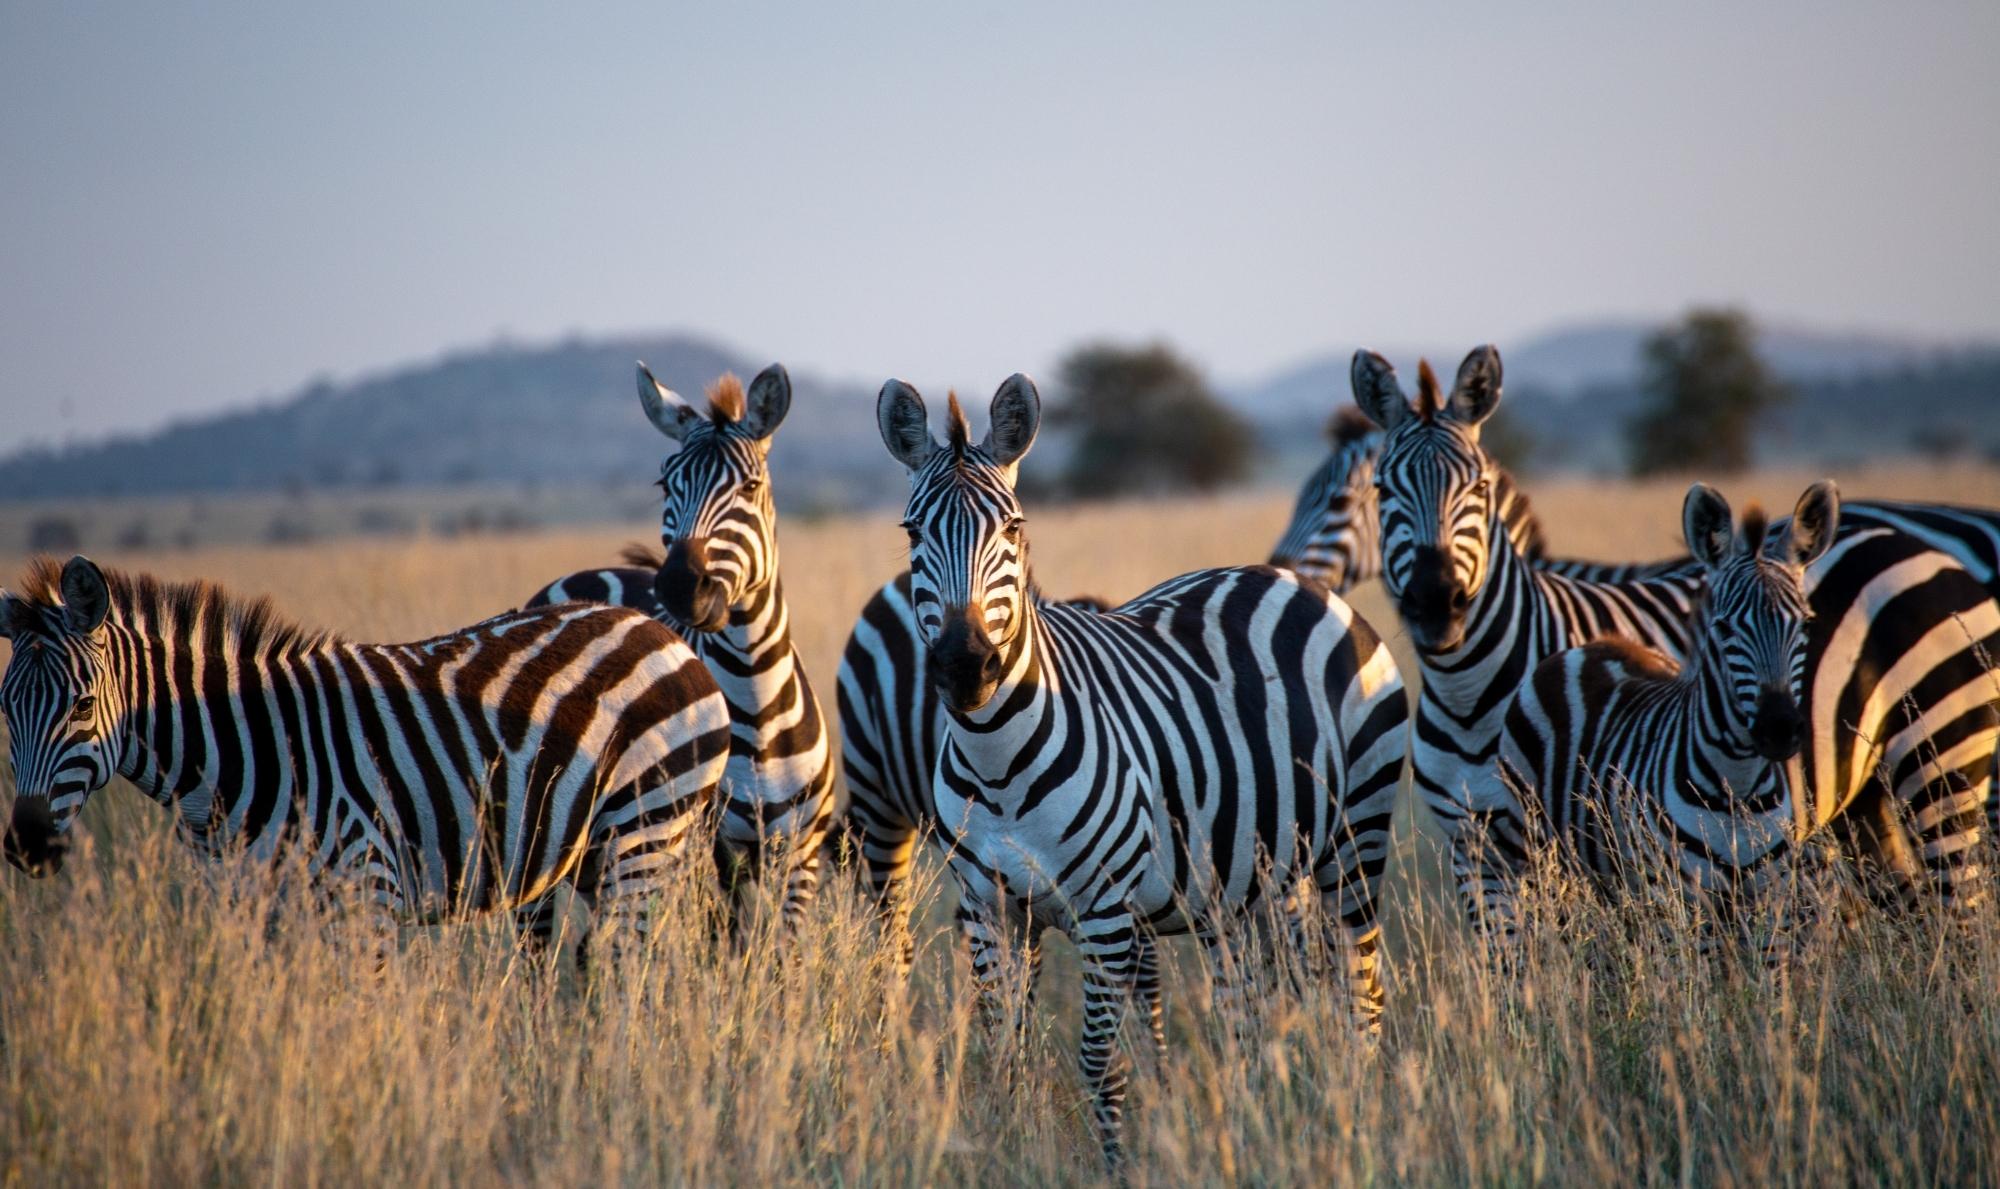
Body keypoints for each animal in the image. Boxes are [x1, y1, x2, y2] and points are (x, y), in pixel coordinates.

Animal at [0, 555, 731, 968]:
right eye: (3, 709)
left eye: (84, 704)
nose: (27, 843)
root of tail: (660, 630)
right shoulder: (249, 912)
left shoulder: (365, 892)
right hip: (596, 851)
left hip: (643, 829)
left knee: (632, 968)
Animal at [526, 363, 837, 946]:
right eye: (666, 483)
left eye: (751, 486)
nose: (678, 585)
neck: (757, 701)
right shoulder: (704, 857)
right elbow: (721, 955)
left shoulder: (799, 859)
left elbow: (780, 958)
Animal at [875, 373, 1409, 1170]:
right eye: (913, 533)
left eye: (1014, 529)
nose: (966, 667)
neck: (996, 761)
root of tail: (1299, 583)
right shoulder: (988, 909)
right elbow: (1005, 1055)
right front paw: (1011, 1148)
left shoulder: (1103, 911)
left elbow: (1099, 1059)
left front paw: (1116, 1165)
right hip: (1252, 881)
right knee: (1254, 1010)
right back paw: (1259, 1121)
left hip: (1356, 840)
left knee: (1359, 991)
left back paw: (1362, 1118)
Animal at [1482, 483, 1837, 959]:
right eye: (1724, 629)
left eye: (1805, 624)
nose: (1779, 729)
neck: (1737, 789)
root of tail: (1592, 646)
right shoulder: (1683, 904)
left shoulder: (1772, 902)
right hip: (1536, 852)